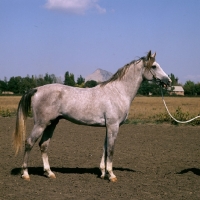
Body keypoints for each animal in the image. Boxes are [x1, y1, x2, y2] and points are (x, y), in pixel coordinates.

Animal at [13, 50, 171, 181]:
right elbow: (111, 149)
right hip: (40, 124)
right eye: (154, 66)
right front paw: (111, 175)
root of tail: (36, 89)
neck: (118, 92)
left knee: (44, 145)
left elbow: (105, 148)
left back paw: (49, 173)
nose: (168, 81)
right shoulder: (113, 126)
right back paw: (25, 174)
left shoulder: (108, 127)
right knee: (29, 143)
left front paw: (103, 173)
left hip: (52, 123)